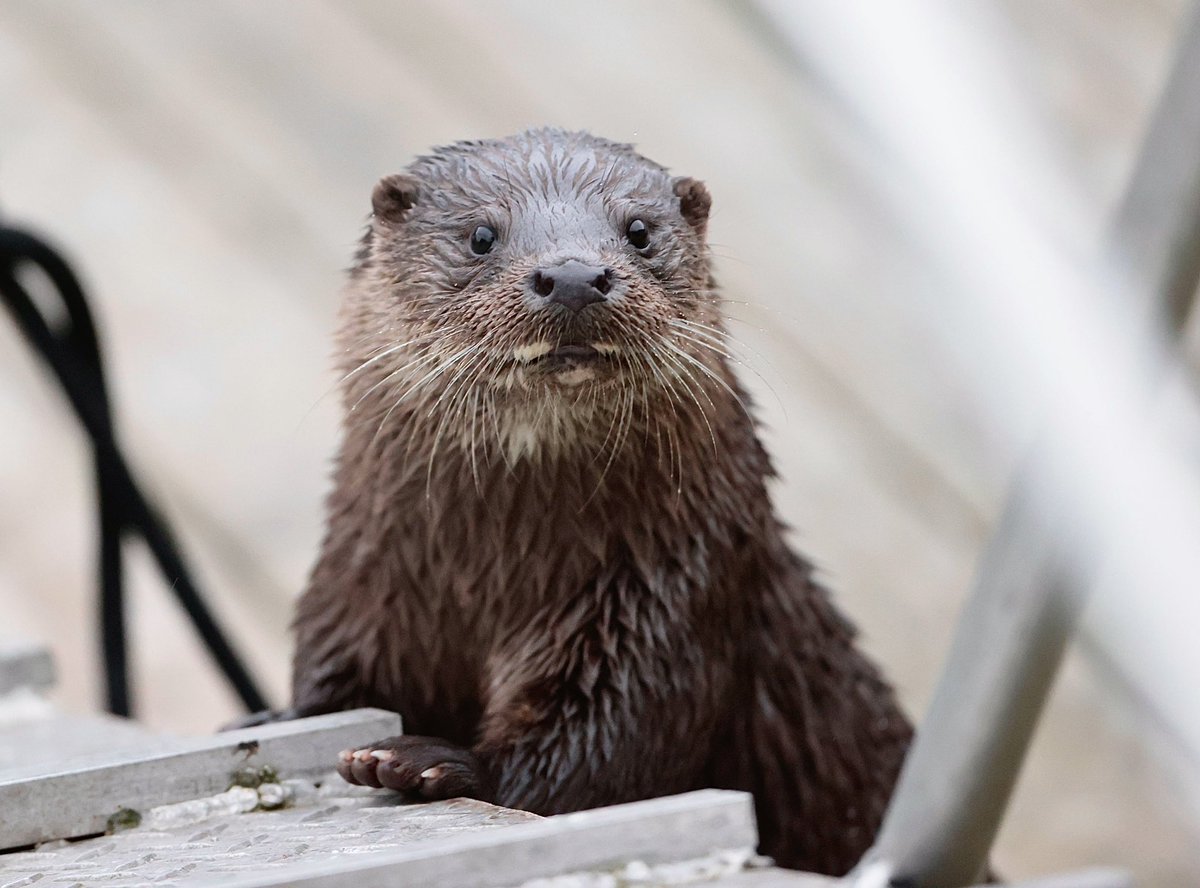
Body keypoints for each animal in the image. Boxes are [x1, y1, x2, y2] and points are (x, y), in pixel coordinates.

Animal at [285, 129, 911, 874]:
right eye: (480, 235)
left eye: (638, 230)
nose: (576, 276)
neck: (493, 567)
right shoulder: (360, 581)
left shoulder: (667, 601)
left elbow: (611, 744)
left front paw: (432, 760)